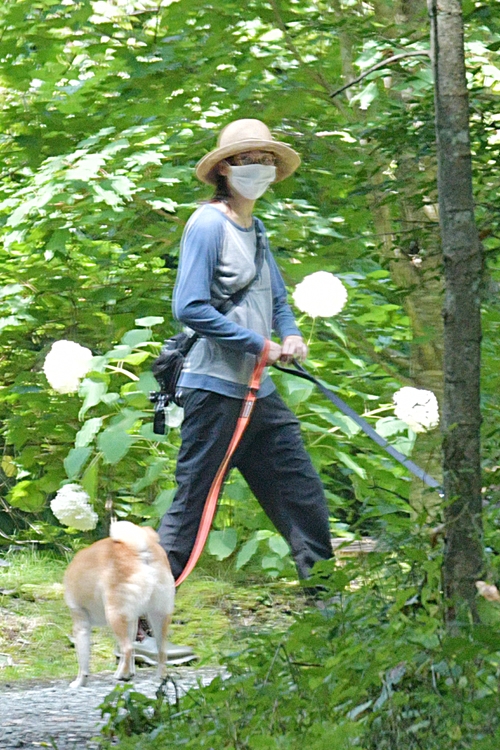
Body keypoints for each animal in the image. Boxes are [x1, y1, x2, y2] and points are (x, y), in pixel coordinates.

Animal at [64, 524, 176, 688]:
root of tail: (141, 549)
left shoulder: (81, 623)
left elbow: (83, 662)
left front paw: (79, 682)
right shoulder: (131, 620)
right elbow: (129, 655)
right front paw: (130, 672)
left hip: (114, 615)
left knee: (127, 648)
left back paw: (122, 676)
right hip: (157, 616)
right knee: (160, 651)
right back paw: (160, 677)